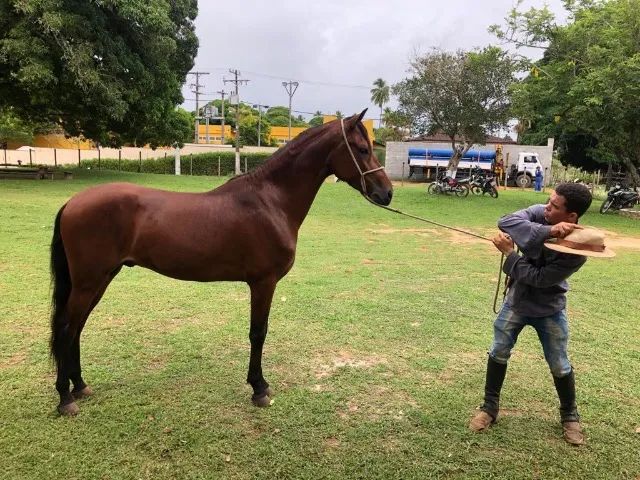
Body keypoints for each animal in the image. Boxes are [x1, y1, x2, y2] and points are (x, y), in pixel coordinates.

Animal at [49, 110, 393, 415]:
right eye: (362, 149)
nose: (387, 193)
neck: (271, 201)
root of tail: (72, 203)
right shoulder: (263, 282)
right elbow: (258, 333)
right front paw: (259, 388)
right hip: (89, 281)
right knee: (67, 328)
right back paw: (65, 398)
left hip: (100, 279)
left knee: (77, 327)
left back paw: (80, 386)